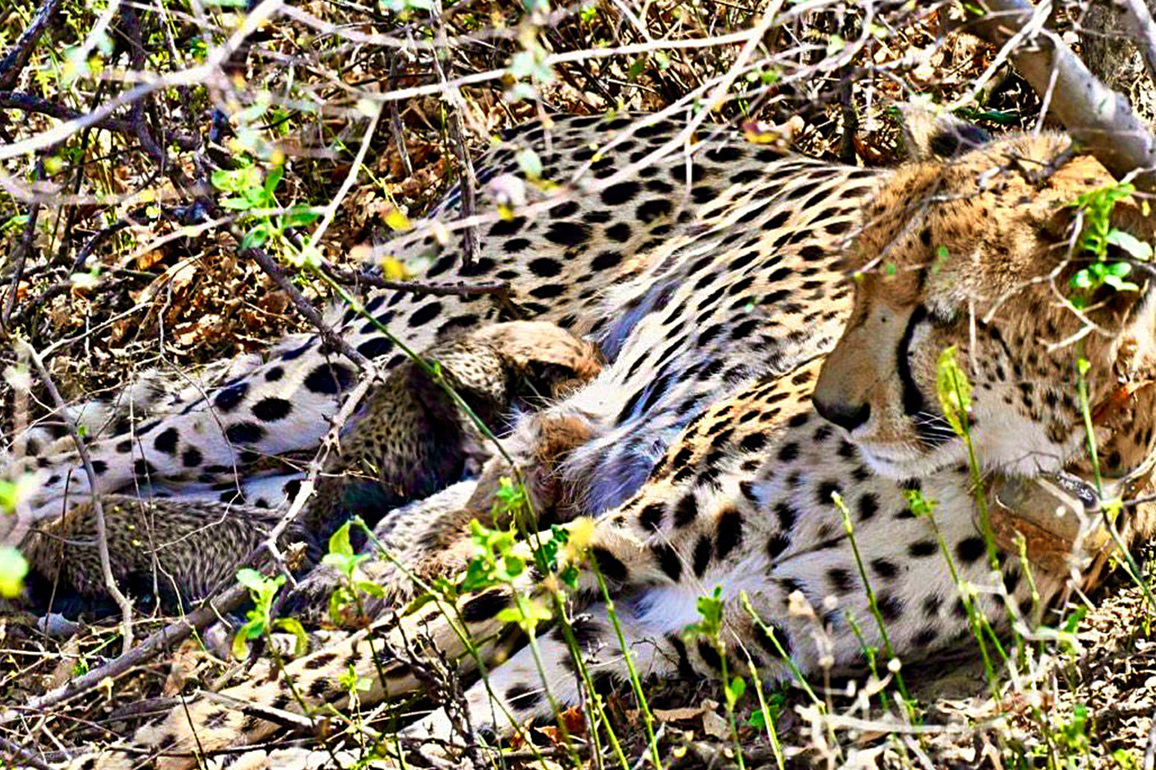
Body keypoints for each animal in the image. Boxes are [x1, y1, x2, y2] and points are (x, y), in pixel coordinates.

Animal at [9, 108, 1156, 769]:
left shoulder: (682, 630)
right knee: (96, 448)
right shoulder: (613, 537)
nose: (837, 406)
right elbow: (349, 665)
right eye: (852, 282)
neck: (1002, 462)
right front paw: (169, 736)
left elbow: (449, 705)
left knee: (272, 510)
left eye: (931, 309)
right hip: (372, 343)